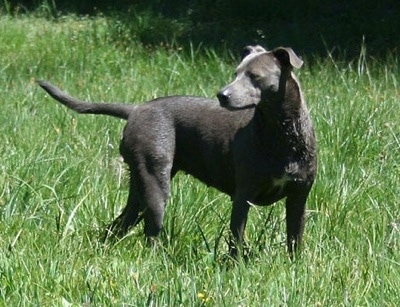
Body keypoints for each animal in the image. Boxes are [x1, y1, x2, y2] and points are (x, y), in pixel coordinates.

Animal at [39, 45, 318, 258]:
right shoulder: (243, 197)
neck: (280, 134)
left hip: (139, 190)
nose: (222, 95)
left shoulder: (299, 198)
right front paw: (234, 266)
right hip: (155, 184)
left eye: (255, 75)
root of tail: (136, 109)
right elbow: (235, 238)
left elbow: (295, 238)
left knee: (118, 225)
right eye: (235, 73)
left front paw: (294, 267)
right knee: (150, 234)